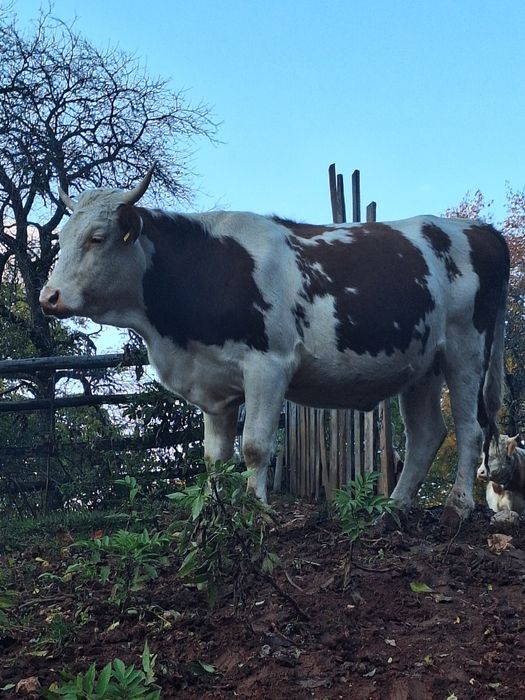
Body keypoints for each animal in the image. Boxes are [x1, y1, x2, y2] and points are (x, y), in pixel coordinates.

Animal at [39, 168, 510, 529]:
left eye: (97, 237)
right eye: (62, 235)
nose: (49, 297)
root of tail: (480, 231)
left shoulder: (268, 365)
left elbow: (255, 446)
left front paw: (256, 511)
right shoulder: (214, 382)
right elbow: (214, 457)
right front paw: (212, 514)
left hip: (466, 350)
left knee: (471, 430)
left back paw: (457, 507)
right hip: (422, 367)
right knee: (427, 436)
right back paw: (391, 511)